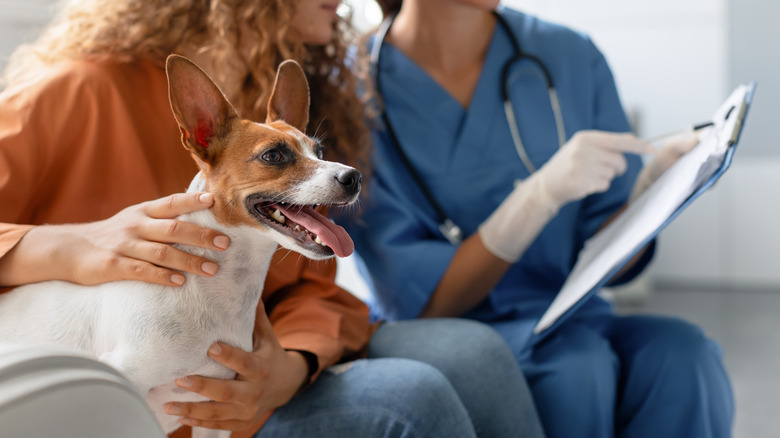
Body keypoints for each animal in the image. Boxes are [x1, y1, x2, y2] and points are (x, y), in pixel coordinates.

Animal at [0, 54, 362, 434]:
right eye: (273, 156)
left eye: (319, 151)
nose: (353, 177)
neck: (218, 291)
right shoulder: (126, 389)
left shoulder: (217, 413)